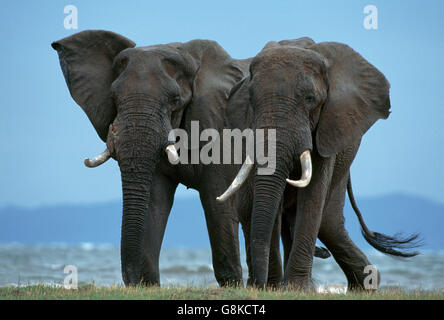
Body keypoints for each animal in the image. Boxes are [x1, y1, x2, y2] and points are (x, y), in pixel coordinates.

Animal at [220, 37, 422, 290]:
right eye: (250, 99)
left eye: (310, 99)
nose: (260, 284)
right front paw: (278, 288)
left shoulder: (330, 126)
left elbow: (313, 193)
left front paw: (297, 289)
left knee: (328, 223)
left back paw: (365, 285)